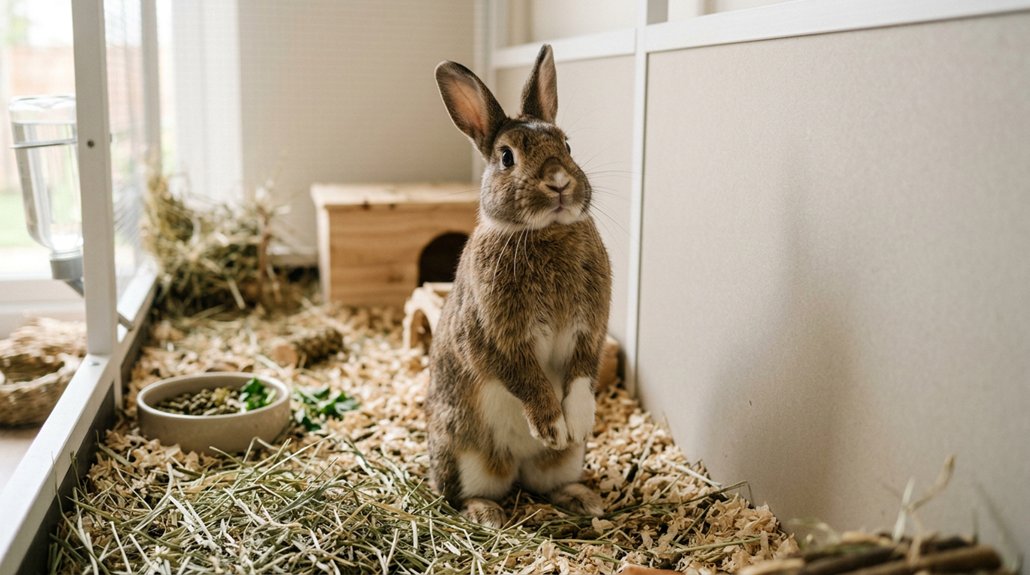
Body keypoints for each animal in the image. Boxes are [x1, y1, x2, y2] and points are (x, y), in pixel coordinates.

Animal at [427, 44, 612, 528]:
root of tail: (516, 465)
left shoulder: (590, 328)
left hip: (565, 462)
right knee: (463, 493)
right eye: (507, 157)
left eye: (567, 144)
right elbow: (526, 378)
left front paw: (576, 422)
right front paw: (551, 426)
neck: (544, 232)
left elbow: (581, 372)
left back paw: (584, 498)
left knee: (547, 484)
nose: (560, 182)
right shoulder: (496, 337)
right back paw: (486, 513)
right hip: (463, 452)